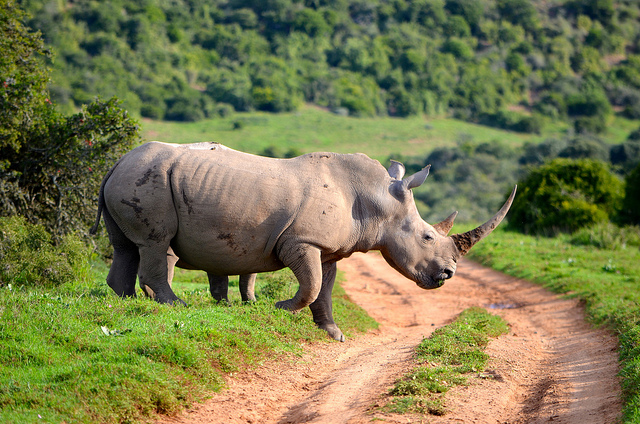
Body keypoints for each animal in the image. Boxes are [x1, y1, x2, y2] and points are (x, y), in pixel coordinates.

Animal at [91, 141, 516, 341]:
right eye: (428, 236)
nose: (448, 274)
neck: (377, 200)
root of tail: (116, 161)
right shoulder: (301, 241)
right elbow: (310, 286)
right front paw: (280, 308)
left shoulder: (328, 250)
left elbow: (324, 289)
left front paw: (333, 333)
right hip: (148, 180)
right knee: (155, 243)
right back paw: (173, 305)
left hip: (133, 177)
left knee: (126, 246)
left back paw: (125, 301)